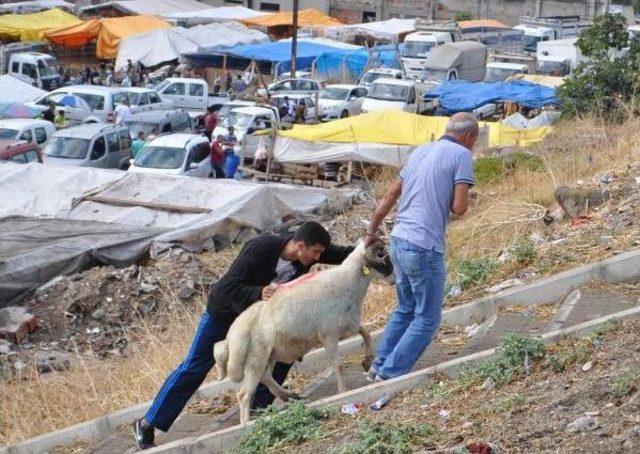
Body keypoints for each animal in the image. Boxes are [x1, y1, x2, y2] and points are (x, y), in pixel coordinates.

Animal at [215, 241, 392, 426]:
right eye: (381, 255)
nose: (394, 279)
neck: (346, 282)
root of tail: (232, 336)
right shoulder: (329, 335)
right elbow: (339, 365)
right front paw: (344, 391)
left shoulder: (348, 325)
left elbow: (366, 334)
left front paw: (367, 361)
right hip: (256, 357)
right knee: (244, 394)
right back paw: (247, 423)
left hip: (267, 355)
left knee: (265, 377)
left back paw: (289, 396)